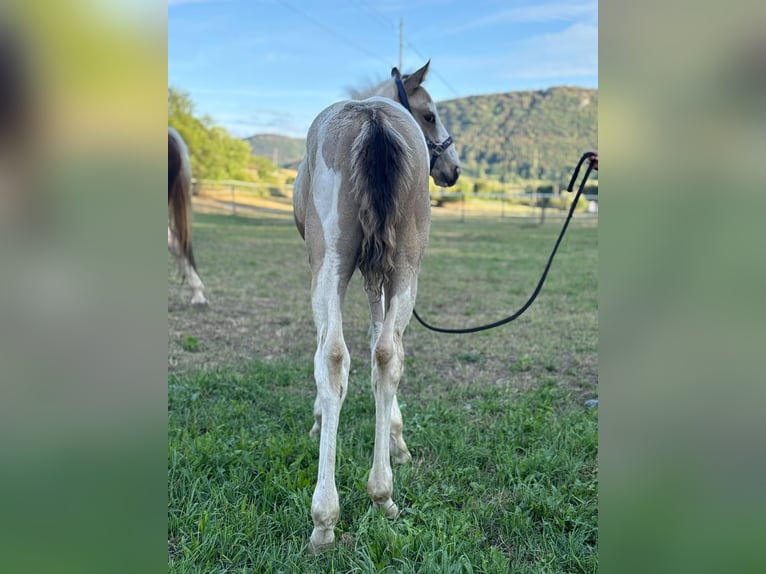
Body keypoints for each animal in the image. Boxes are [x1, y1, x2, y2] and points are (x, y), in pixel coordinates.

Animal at [292, 60, 461, 550]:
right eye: (430, 115)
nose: (454, 168)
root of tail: (372, 118)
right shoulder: (379, 269)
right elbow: (378, 344)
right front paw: (398, 442)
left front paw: (318, 421)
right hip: (405, 265)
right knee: (388, 354)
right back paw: (382, 494)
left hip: (329, 263)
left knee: (333, 357)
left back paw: (324, 520)